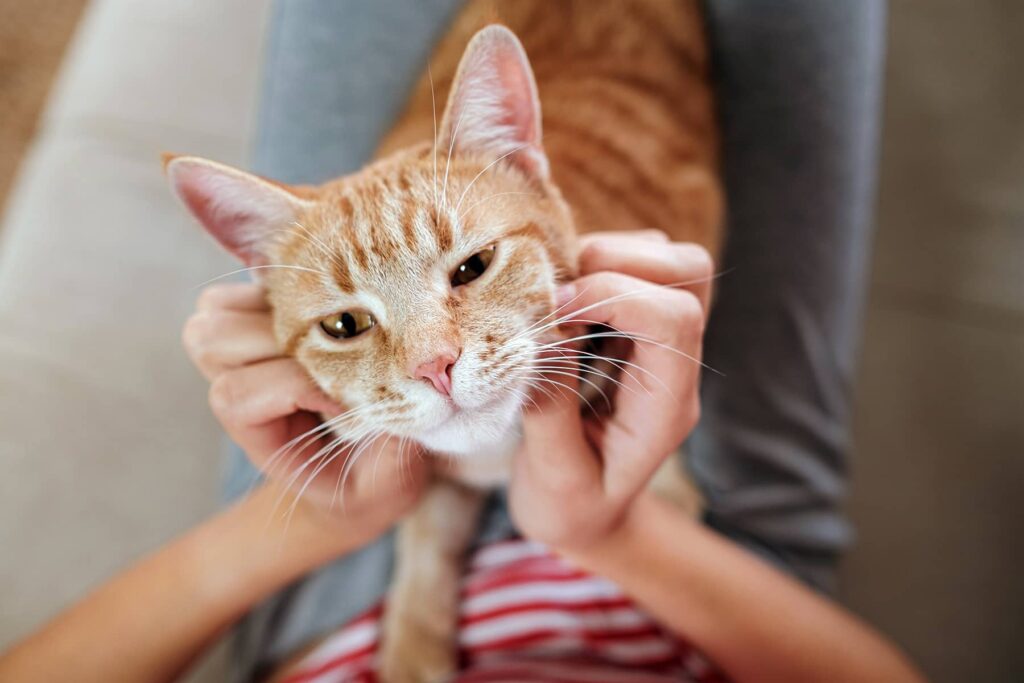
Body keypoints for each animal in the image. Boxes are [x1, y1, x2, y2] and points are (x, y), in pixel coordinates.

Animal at [163, 2, 720, 679]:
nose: (436, 366)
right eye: (344, 325)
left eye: (473, 266)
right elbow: (426, 539)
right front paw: (411, 648)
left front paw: (664, 488)